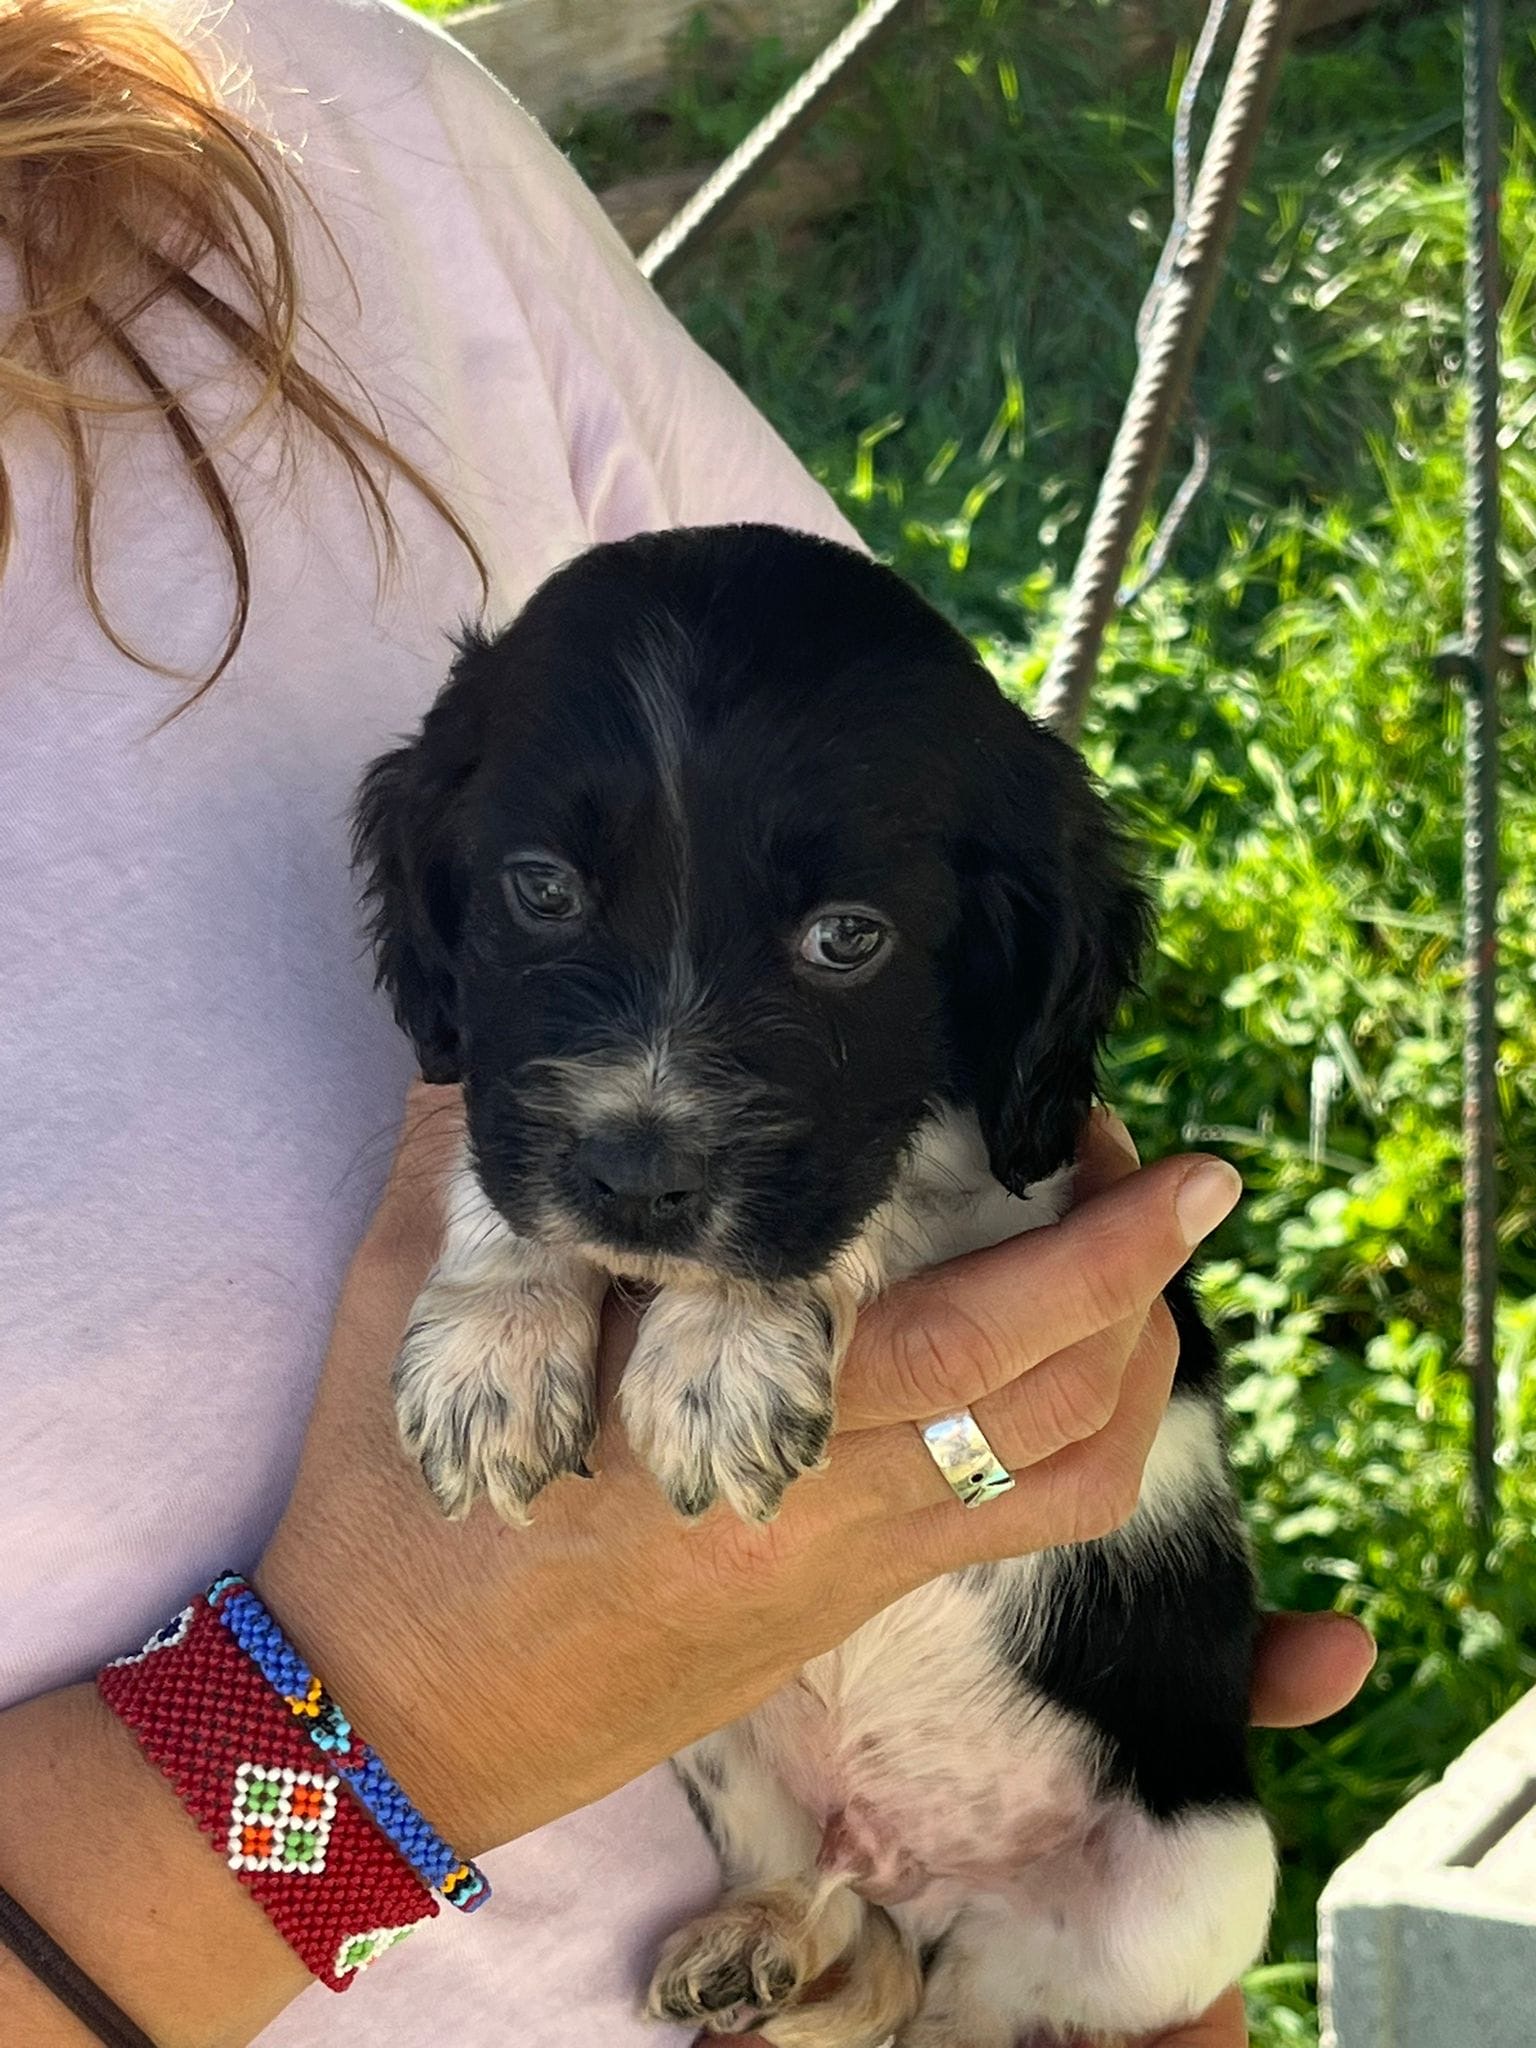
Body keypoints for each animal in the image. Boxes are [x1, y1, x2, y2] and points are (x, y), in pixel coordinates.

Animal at [354, 523, 1275, 2047]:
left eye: (849, 938)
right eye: (539, 888)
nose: (637, 1178)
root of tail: (904, 1858)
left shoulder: (1016, 1177)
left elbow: (878, 1179)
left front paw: (720, 1356)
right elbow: (500, 1165)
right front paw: (493, 1350)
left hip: (1191, 1882)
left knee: (978, 1997)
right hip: (714, 1739)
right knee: (851, 1920)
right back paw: (764, 1941)